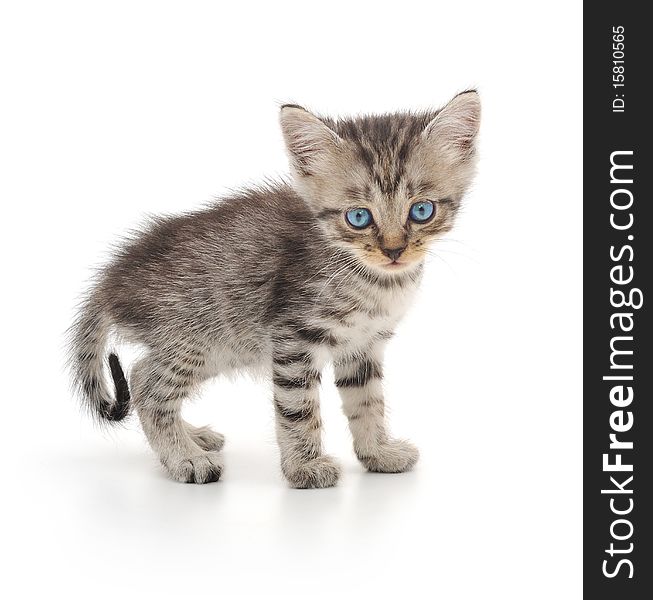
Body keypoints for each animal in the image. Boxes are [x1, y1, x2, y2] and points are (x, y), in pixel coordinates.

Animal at [70, 92, 478, 488]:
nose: (394, 251)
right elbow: (298, 408)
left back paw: (193, 437)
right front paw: (304, 468)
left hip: (217, 346)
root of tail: (112, 279)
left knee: (142, 374)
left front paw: (377, 453)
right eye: (358, 217)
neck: (372, 279)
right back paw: (186, 458)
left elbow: (366, 401)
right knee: (148, 387)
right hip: (199, 336)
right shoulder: (294, 337)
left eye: (422, 210)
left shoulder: (362, 343)